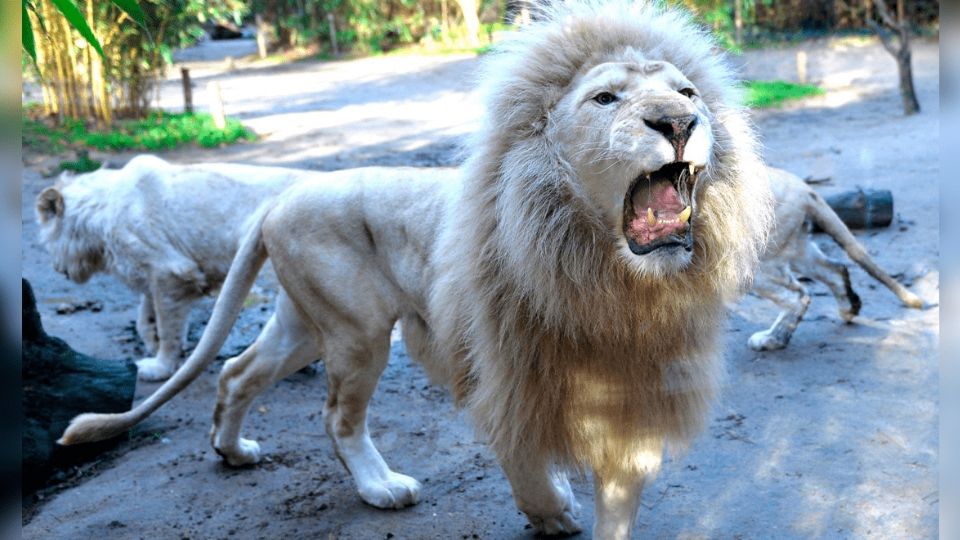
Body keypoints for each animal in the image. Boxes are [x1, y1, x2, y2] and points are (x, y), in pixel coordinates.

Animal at [34, 154, 316, 378]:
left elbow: (169, 328)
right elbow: (145, 314)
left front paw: (159, 368)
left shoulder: (171, 272)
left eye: (48, 239)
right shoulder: (152, 272)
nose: (57, 268)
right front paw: (150, 340)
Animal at [752, 168, 924, 350]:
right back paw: (849, 309)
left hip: (760, 262)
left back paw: (772, 339)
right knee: (835, 270)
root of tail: (802, 187)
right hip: (795, 246)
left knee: (798, 296)